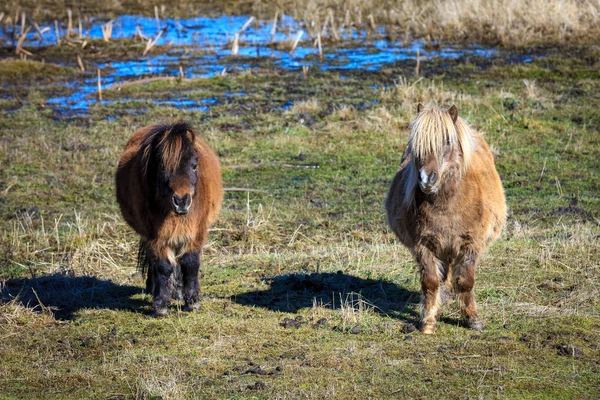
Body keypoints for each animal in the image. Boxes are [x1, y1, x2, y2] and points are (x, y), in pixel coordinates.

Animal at [115, 122, 223, 316]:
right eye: (162, 166)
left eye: (194, 165)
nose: (181, 201)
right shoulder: (156, 236)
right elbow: (162, 266)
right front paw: (161, 305)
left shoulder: (195, 232)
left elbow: (190, 263)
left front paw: (192, 302)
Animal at [384, 104, 506, 334]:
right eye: (417, 143)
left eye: (447, 141)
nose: (426, 179)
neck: (448, 205)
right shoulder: (423, 245)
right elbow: (430, 281)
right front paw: (428, 321)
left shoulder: (470, 244)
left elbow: (465, 281)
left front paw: (473, 319)